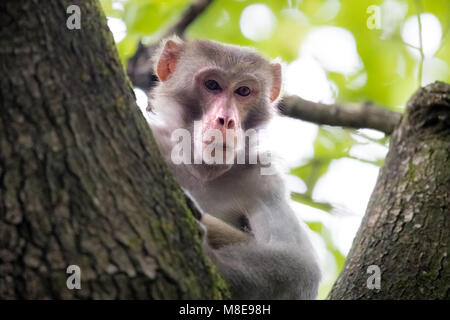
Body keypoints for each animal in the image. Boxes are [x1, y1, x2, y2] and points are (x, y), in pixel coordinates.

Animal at [148, 37, 320, 300]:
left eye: (243, 91)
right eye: (212, 85)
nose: (226, 120)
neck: (201, 170)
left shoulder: (264, 180)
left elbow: (300, 265)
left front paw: (208, 254)